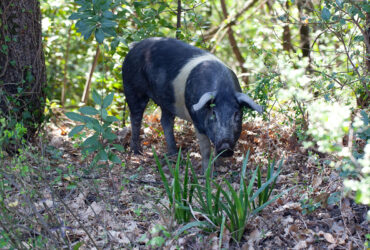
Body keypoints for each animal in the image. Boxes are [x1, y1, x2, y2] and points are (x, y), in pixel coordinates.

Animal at [122, 37, 264, 173]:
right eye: (213, 113)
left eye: (237, 114)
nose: (226, 147)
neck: (224, 89)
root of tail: (135, 46)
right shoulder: (197, 121)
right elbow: (205, 149)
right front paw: (206, 174)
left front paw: (221, 168)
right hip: (132, 87)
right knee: (135, 117)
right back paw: (137, 152)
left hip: (167, 101)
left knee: (165, 121)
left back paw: (173, 154)